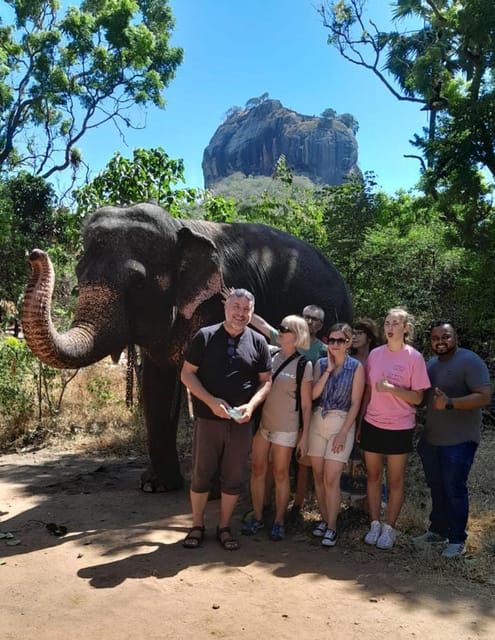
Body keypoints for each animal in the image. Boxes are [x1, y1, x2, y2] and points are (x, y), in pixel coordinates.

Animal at [23, 202, 352, 492]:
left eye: (138, 282)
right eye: (79, 273)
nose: (35, 254)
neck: (181, 227)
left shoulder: (214, 306)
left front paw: (213, 488)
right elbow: (156, 383)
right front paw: (155, 486)